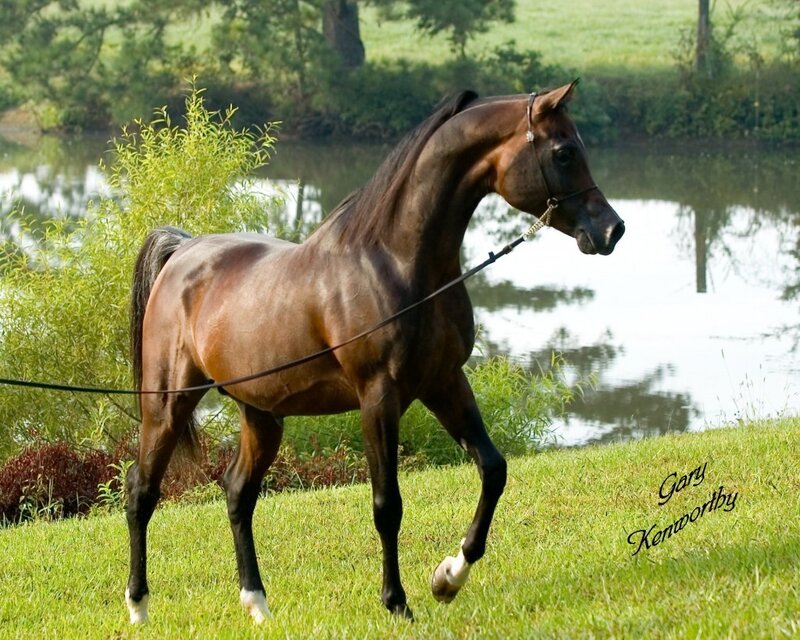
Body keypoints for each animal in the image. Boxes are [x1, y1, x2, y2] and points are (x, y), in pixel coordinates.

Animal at [124, 80, 625, 624]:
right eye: (563, 151)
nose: (612, 230)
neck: (398, 263)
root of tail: (183, 251)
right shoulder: (379, 398)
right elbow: (388, 505)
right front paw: (397, 602)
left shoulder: (444, 382)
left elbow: (493, 469)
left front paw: (447, 578)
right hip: (168, 404)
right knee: (142, 492)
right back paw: (139, 608)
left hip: (260, 413)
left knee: (238, 493)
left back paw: (257, 604)